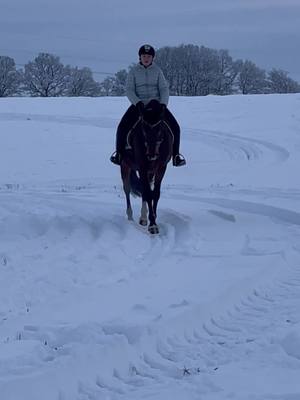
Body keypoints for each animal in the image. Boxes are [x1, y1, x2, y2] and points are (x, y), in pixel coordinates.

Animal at [120, 101, 173, 234]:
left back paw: (143, 218)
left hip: (149, 172)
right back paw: (130, 218)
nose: (151, 154)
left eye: (159, 129)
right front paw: (153, 225)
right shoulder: (142, 168)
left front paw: (152, 218)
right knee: (127, 189)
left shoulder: (161, 168)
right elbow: (148, 194)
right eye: (144, 129)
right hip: (125, 165)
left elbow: (155, 194)